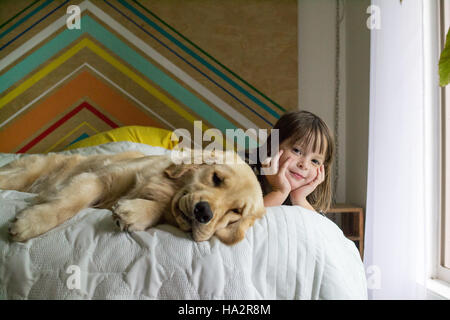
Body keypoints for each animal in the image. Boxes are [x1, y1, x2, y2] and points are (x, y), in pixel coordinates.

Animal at [0, 149, 264, 244]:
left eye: (237, 211)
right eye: (216, 178)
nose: (203, 213)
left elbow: (158, 209)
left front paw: (134, 212)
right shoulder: (100, 178)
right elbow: (69, 203)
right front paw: (32, 222)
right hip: (25, 173)